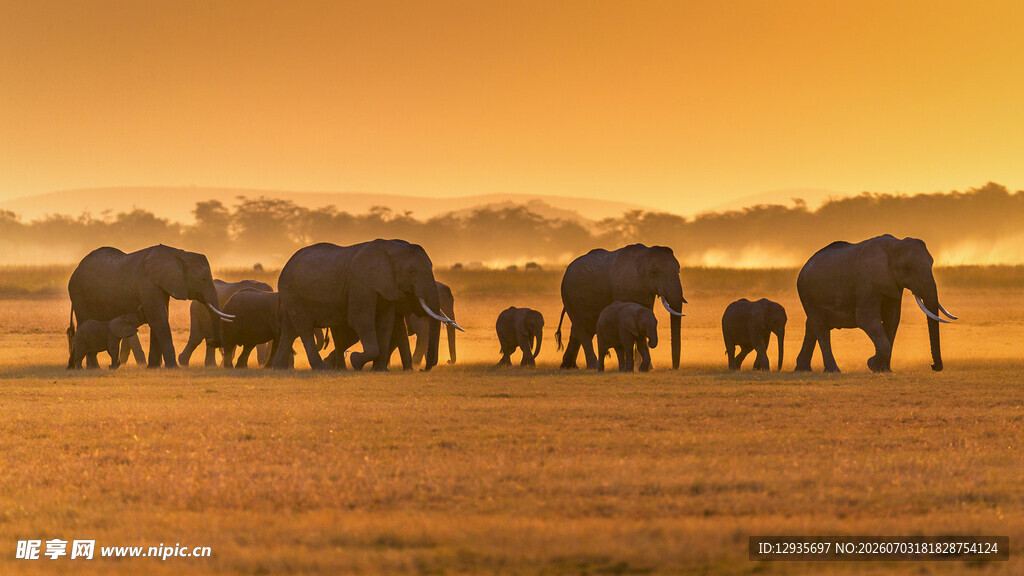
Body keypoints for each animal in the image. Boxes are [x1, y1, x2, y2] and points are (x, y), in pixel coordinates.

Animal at [68, 245, 234, 368]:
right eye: (203, 279)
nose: (213, 341)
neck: (178, 254)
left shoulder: (161, 285)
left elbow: (159, 318)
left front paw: (153, 367)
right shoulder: (147, 284)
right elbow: (159, 319)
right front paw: (173, 367)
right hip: (78, 294)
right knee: (84, 323)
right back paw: (93, 368)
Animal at [274, 239, 461, 371]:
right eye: (411, 271)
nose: (423, 370)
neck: (392, 249)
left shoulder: (386, 287)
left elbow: (386, 323)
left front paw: (379, 370)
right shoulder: (361, 283)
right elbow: (361, 320)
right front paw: (356, 361)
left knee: (290, 329)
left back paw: (280, 368)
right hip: (293, 293)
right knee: (303, 327)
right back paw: (322, 368)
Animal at [555, 244, 686, 370]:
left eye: (678, 270)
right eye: (654, 272)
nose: (672, 368)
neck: (643, 255)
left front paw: (645, 367)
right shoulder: (625, 287)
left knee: (579, 329)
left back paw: (568, 366)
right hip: (568, 296)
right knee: (582, 329)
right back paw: (592, 366)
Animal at [794, 234, 957, 373]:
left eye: (932, 264)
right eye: (907, 268)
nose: (933, 366)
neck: (894, 245)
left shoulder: (893, 285)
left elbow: (892, 320)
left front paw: (883, 370)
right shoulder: (867, 282)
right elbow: (866, 319)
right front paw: (871, 364)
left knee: (811, 326)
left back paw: (803, 369)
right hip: (806, 291)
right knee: (821, 328)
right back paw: (833, 370)